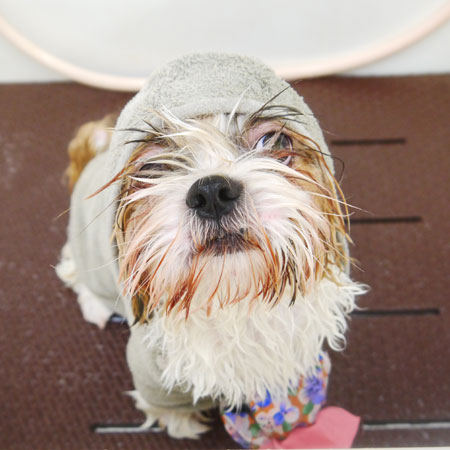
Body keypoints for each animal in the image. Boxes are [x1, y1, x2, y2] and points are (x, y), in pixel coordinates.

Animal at [56, 53, 366, 440]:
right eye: (153, 166)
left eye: (273, 139)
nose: (211, 192)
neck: (234, 298)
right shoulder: (152, 366)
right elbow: (164, 404)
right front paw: (182, 422)